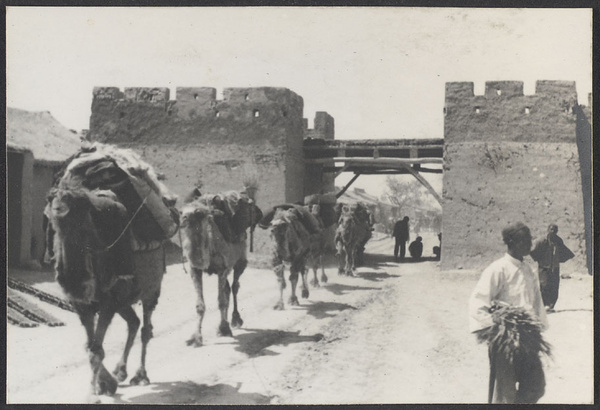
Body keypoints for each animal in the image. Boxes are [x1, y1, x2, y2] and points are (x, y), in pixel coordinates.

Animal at [178, 189, 262, 346]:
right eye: (180, 211)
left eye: (199, 213)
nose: (184, 219)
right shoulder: (195, 270)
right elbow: (200, 305)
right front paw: (195, 338)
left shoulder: (222, 268)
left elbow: (221, 301)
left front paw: (224, 329)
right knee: (227, 289)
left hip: (240, 261)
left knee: (234, 287)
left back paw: (235, 320)